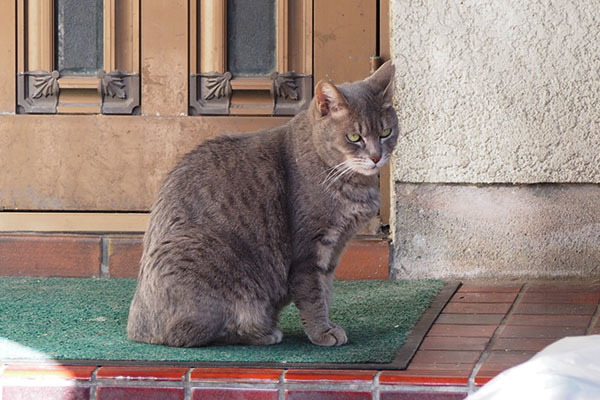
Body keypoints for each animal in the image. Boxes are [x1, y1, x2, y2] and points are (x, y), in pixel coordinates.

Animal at [127, 62, 398, 346]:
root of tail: (136, 329)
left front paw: (328, 325)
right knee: (192, 333)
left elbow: (326, 290)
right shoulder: (309, 251)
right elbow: (313, 296)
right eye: (354, 137)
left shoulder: (334, 250)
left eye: (385, 132)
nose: (376, 157)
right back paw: (263, 332)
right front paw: (322, 332)